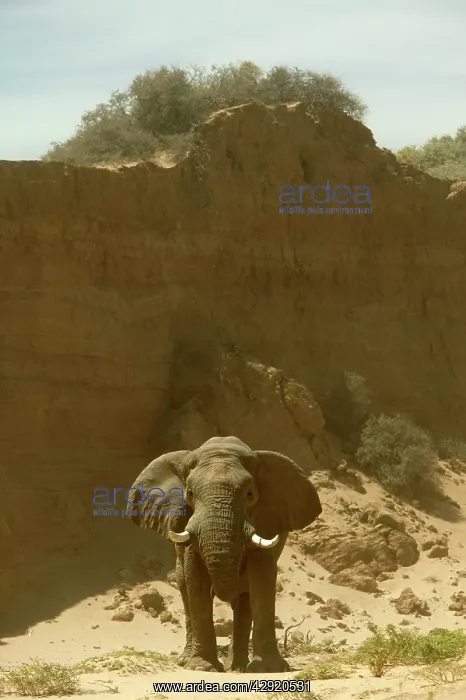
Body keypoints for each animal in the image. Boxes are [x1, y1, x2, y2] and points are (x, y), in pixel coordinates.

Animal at [126, 435, 322, 673]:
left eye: (249, 494)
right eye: (189, 494)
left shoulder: (266, 519)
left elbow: (262, 579)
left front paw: (269, 668)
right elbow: (196, 579)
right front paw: (201, 667)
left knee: (245, 601)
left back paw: (237, 667)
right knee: (185, 588)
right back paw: (188, 661)